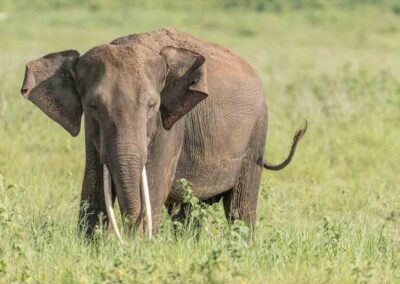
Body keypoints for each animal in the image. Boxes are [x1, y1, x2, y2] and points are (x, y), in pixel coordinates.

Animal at [19, 27, 306, 240]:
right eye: (93, 106)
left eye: (151, 106)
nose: (126, 237)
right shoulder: (93, 133)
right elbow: (93, 186)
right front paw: (91, 246)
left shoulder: (171, 126)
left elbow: (154, 183)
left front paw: (138, 245)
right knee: (187, 212)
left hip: (257, 133)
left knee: (239, 208)